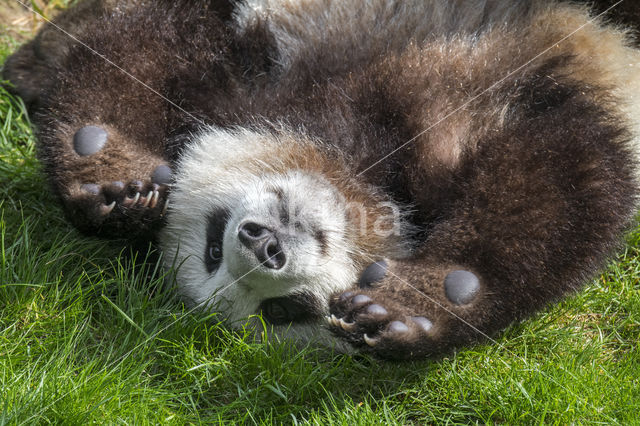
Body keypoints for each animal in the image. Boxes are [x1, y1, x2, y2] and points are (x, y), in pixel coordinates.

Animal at [3, 0, 640, 360]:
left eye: (211, 243)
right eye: (282, 313)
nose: (263, 245)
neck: (357, 174)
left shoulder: (263, 70)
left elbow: (142, 49)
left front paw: (114, 181)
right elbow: (569, 173)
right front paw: (409, 313)